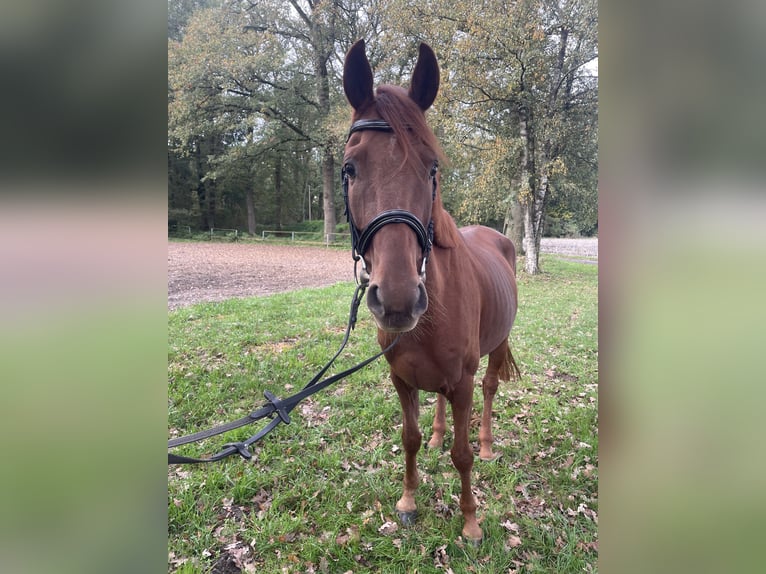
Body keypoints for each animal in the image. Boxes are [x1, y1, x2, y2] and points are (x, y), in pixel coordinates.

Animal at [344, 41, 524, 544]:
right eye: (349, 168)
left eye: (431, 168)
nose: (398, 298)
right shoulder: (401, 380)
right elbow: (410, 438)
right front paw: (408, 501)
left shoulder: (461, 382)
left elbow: (462, 456)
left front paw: (471, 523)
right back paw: (442, 433)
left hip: (496, 346)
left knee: (488, 390)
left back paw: (487, 445)